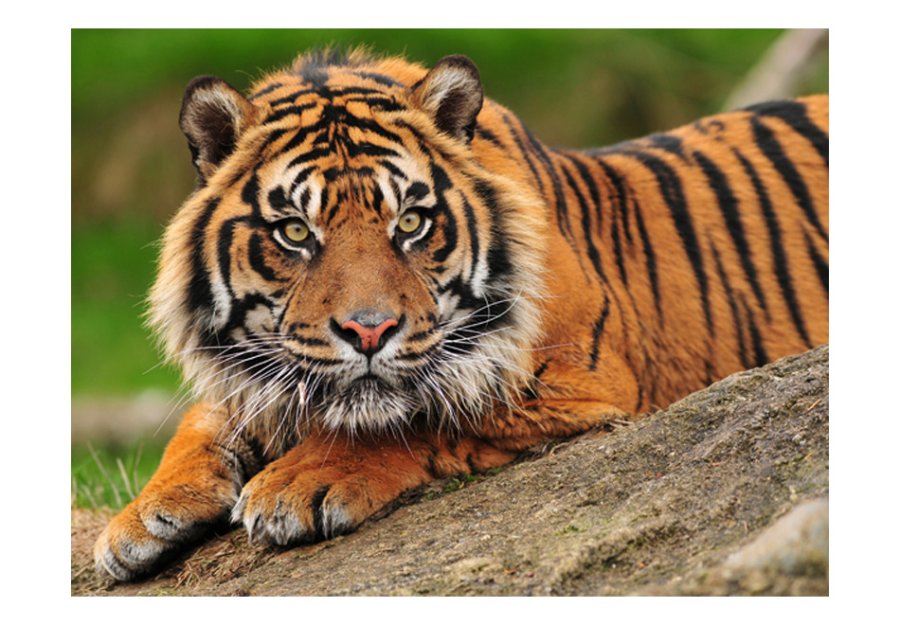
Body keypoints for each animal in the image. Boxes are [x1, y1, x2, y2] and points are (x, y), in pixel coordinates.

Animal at [93, 48, 828, 581]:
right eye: (296, 232)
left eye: (411, 223)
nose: (368, 331)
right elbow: (205, 418)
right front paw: (139, 519)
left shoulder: (575, 383)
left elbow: (416, 415)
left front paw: (298, 482)